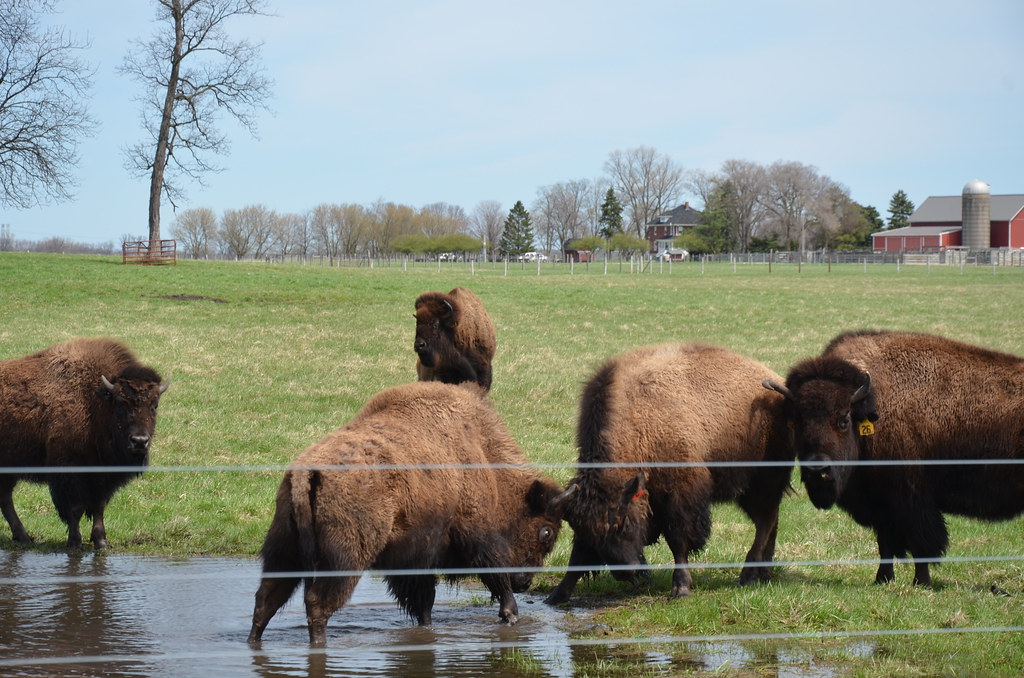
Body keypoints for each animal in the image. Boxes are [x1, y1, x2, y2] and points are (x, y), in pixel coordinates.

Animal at [0, 338, 169, 550]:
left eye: (154, 405)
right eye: (121, 403)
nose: (139, 441)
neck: (96, 401)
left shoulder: (101, 478)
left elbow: (99, 507)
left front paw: (101, 542)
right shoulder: (70, 473)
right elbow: (76, 508)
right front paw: (75, 543)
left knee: (5, 499)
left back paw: (23, 537)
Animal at [247, 381, 567, 647]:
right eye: (546, 531)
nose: (525, 582)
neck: (485, 457)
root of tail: (306, 472)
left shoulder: (415, 560)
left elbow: (423, 603)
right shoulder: (476, 533)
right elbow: (494, 573)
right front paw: (510, 614)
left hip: (283, 551)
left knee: (266, 600)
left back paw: (254, 641)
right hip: (344, 560)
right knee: (317, 602)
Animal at [546, 343, 793, 604]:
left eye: (626, 523)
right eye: (592, 534)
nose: (626, 572)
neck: (638, 419)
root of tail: (776, 382)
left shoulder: (681, 494)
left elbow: (678, 541)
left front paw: (681, 588)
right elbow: (578, 555)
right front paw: (557, 594)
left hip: (761, 482)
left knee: (765, 521)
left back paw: (748, 575)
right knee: (770, 520)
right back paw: (764, 573)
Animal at [764, 330, 1024, 586]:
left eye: (844, 419)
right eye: (797, 421)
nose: (817, 471)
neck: (874, 405)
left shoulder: (912, 501)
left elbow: (921, 545)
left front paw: (921, 582)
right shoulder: (880, 504)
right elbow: (885, 543)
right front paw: (883, 579)